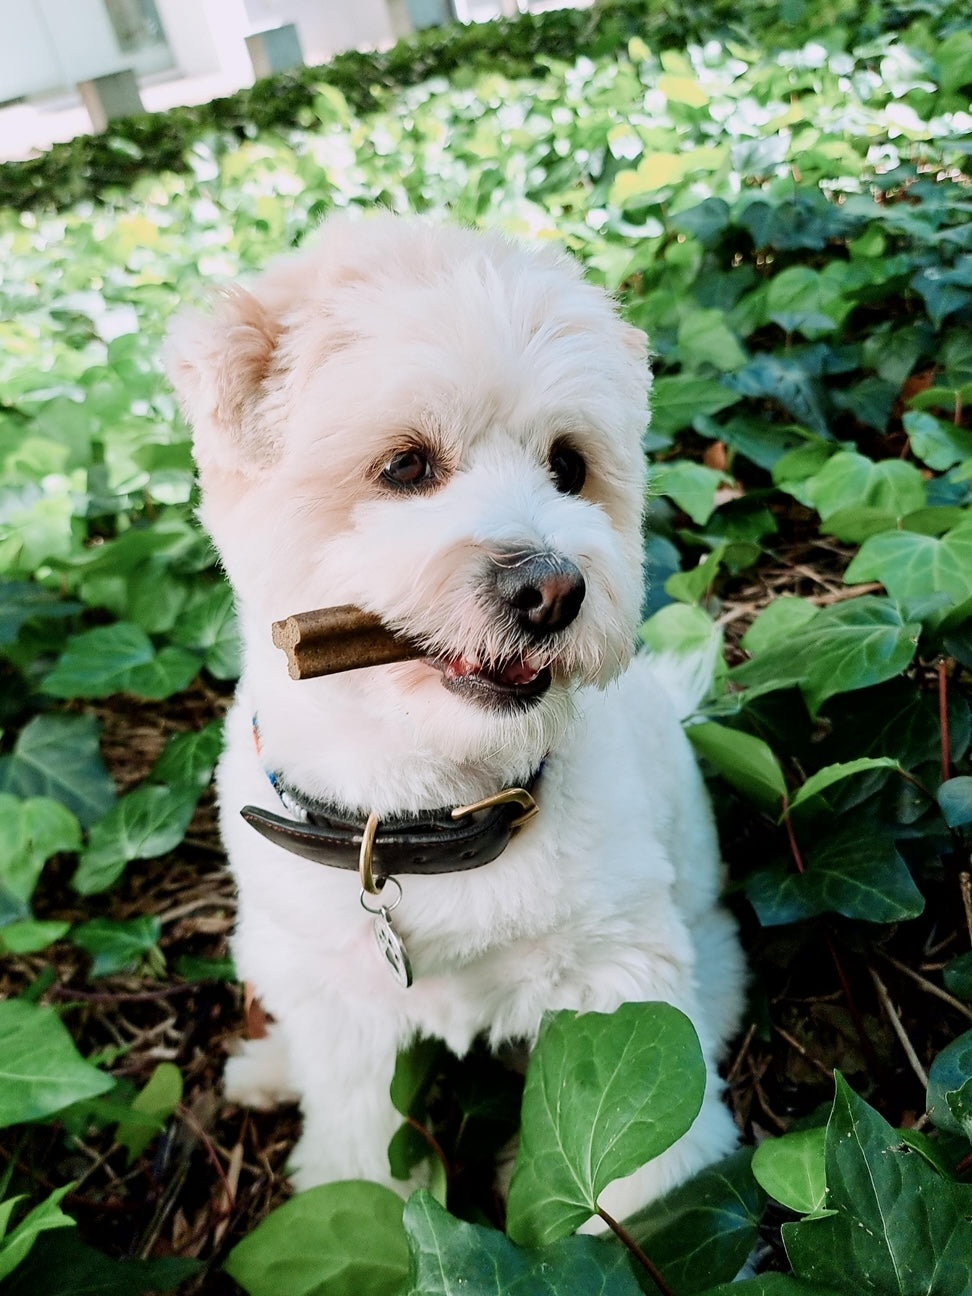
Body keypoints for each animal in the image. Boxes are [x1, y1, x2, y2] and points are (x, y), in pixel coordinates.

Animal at [167, 215, 746, 1223]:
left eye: (569, 465)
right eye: (405, 465)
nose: (552, 589)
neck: (428, 807)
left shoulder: (619, 984)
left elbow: (645, 1152)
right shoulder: (349, 1020)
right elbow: (358, 1147)